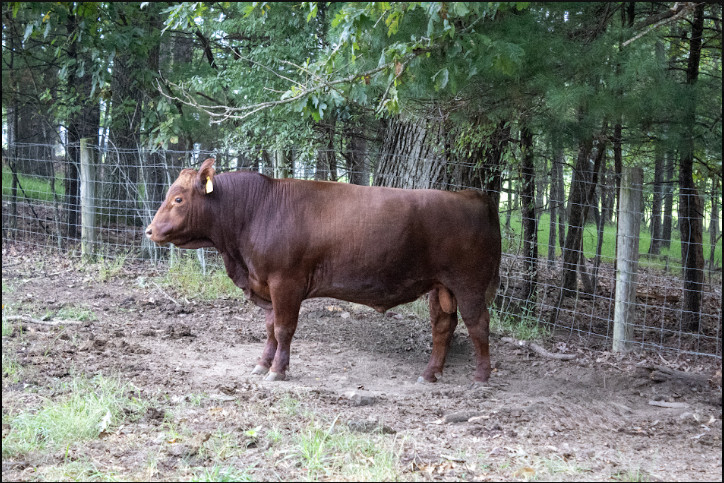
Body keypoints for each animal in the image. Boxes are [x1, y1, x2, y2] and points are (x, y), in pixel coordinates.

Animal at [146, 158, 501, 384]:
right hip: (441, 286)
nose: (149, 231)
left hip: (469, 283)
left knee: (478, 324)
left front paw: (277, 370)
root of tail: (472, 195)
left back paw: (481, 377)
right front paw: (262, 364)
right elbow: (271, 327)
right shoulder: (266, 285)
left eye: (178, 199)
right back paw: (430, 374)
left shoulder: (285, 282)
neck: (257, 209)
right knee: (443, 327)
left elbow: (284, 329)